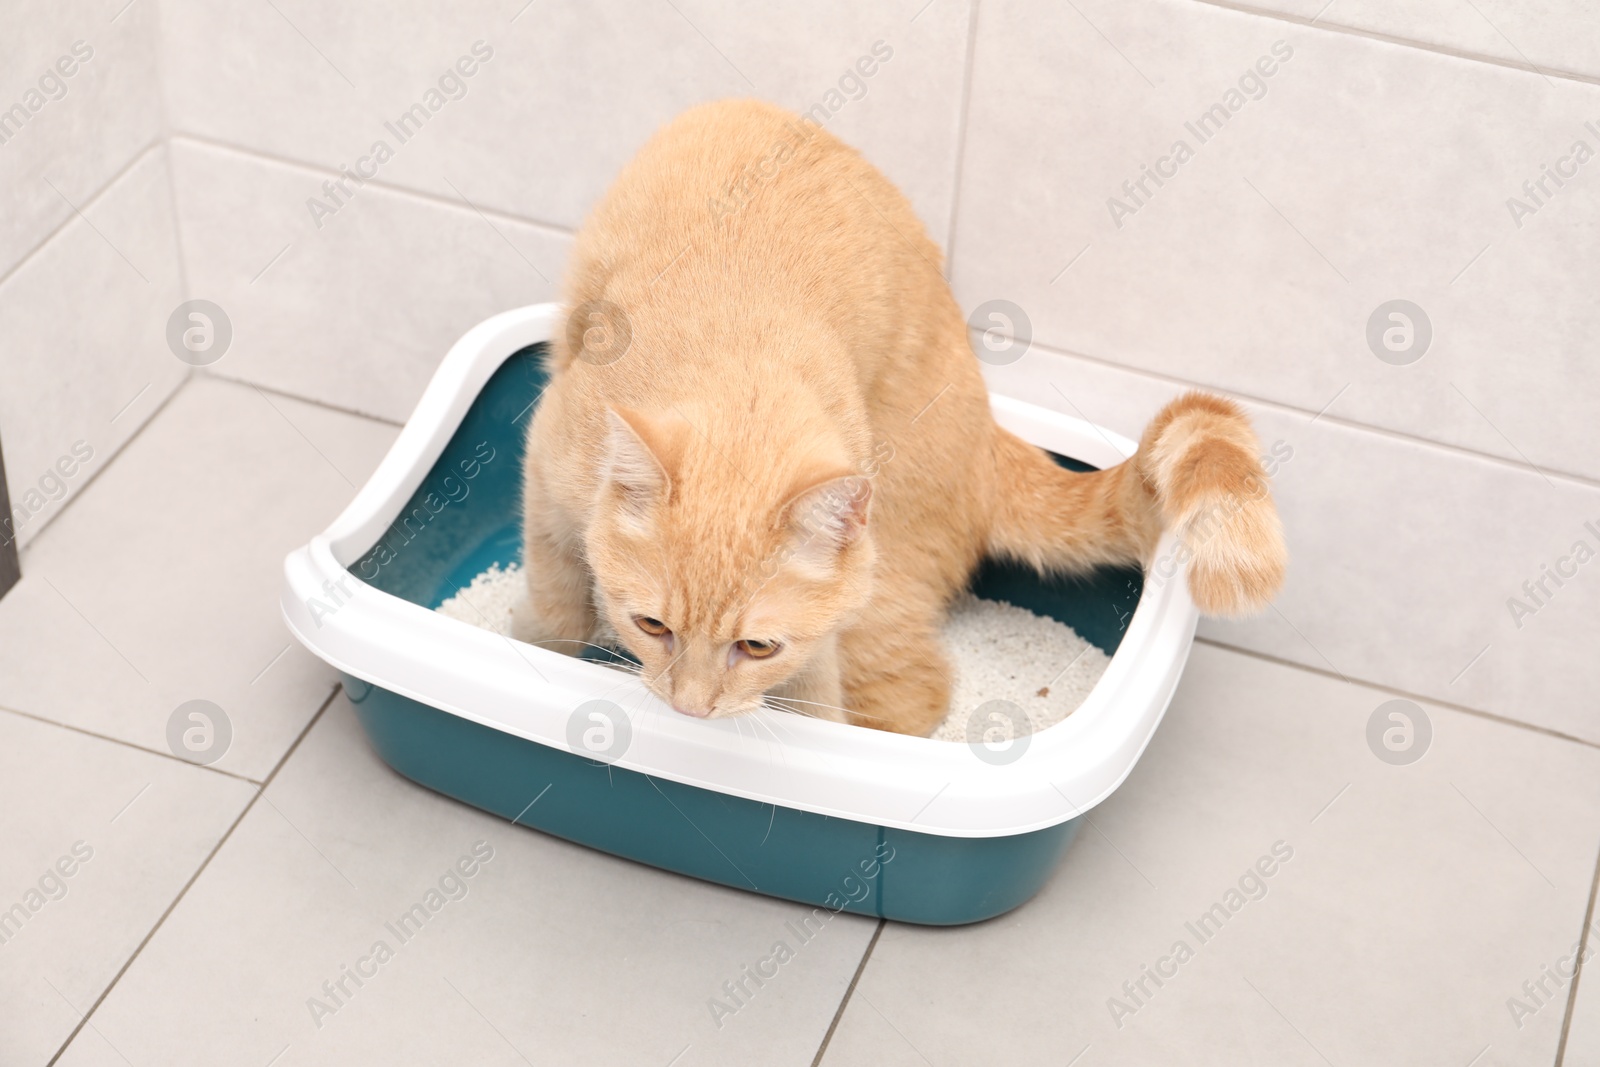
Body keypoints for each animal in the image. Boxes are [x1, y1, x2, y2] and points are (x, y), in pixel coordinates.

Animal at [512, 97, 1286, 735]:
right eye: (651, 624)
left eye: (757, 645)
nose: (691, 710)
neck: (737, 351)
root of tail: (988, 435)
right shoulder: (547, 493)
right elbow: (553, 608)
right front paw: (532, 649)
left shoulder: (823, 636)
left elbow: (817, 700)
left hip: (887, 583)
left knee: (915, 692)